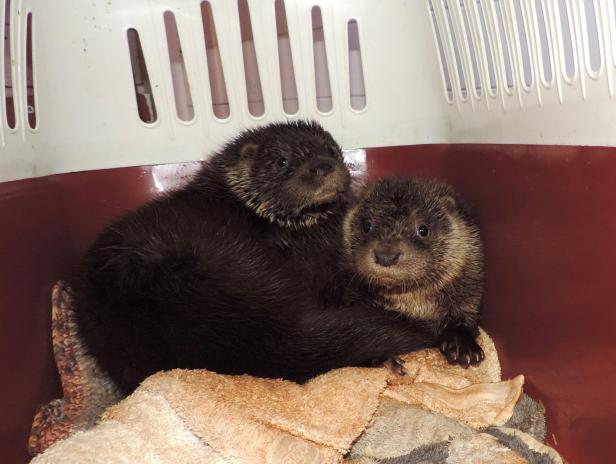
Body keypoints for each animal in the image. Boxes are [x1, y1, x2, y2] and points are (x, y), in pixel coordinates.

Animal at [344, 176, 484, 368]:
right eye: (366, 226)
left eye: (423, 229)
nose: (386, 256)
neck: (413, 303)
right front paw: (380, 358)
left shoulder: (468, 285)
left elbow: (464, 316)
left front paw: (462, 346)